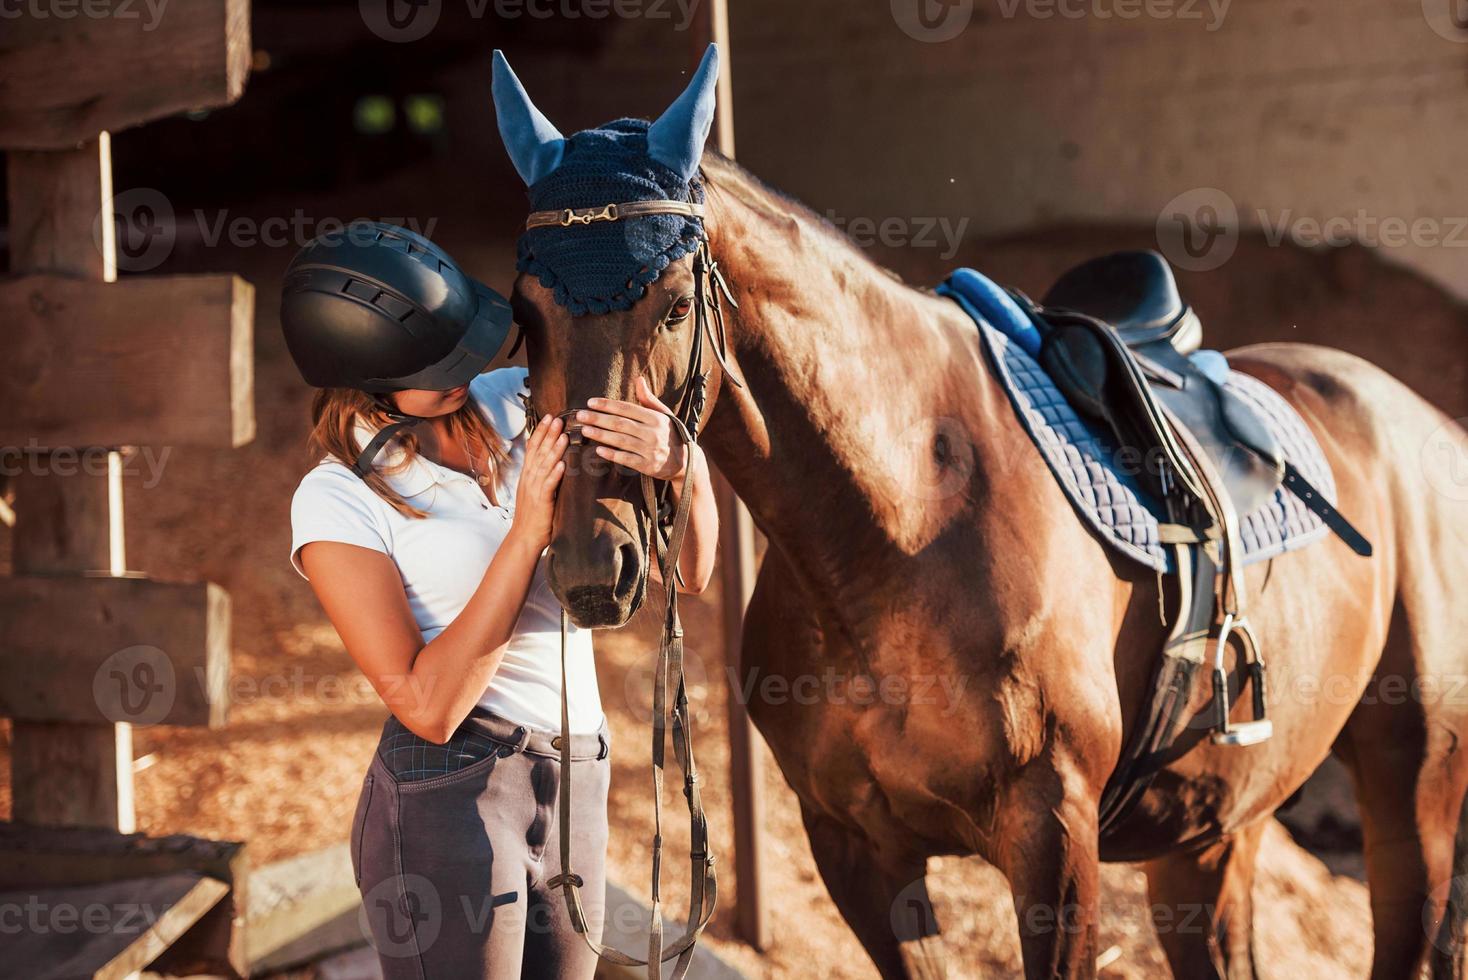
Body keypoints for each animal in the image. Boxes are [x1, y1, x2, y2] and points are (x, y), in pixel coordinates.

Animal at [513, 149, 1468, 974]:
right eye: (526, 316)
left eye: (676, 304)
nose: (593, 564)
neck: (898, 525)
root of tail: (1436, 426)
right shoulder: (855, 850)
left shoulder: (1055, 837)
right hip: (1212, 833)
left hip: (1414, 789)